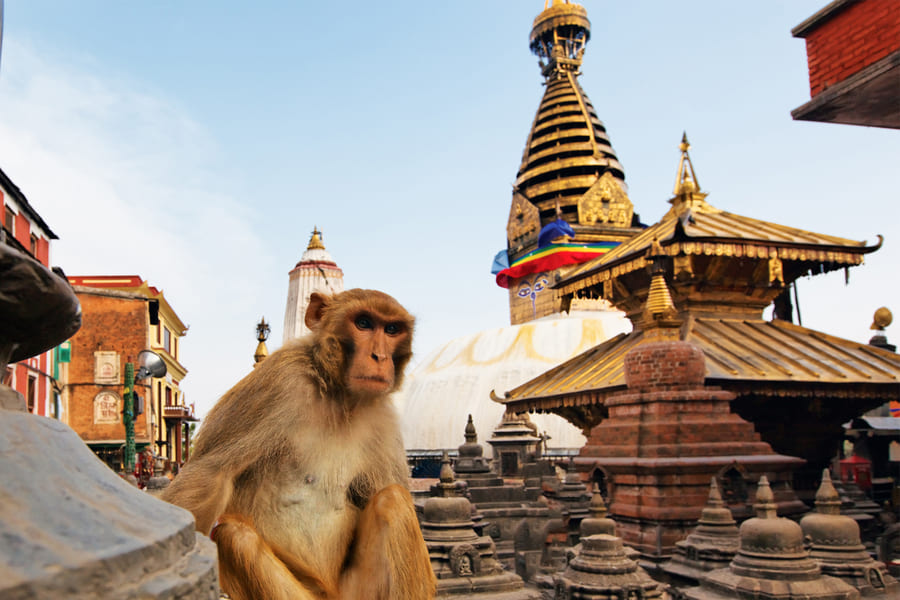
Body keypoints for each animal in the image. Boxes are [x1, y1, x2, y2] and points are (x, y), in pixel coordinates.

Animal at [161, 289, 436, 600]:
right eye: (363, 323)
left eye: (391, 329)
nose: (379, 356)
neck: (338, 396)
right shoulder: (279, 381)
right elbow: (210, 475)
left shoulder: (382, 418)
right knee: (234, 536)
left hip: (356, 591)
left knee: (393, 499)